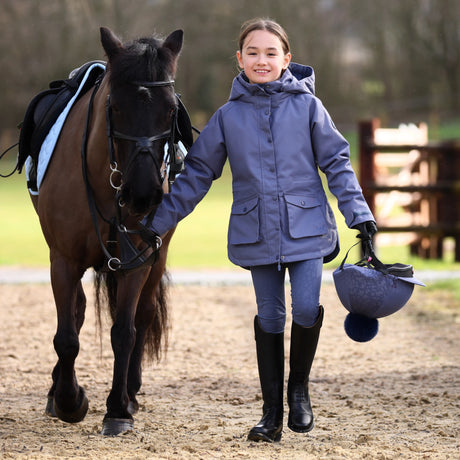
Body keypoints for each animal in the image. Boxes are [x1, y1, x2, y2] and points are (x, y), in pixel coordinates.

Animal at [28, 27, 183, 436]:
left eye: (171, 110)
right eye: (115, 108)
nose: (143, 194)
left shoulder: (137, 261)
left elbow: (124, 332)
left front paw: (117, 409)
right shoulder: (63, 260)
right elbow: (67, 335)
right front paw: (69, 400)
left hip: (157, 257)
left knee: (143, 315)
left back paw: (131, 391)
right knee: (78, 313)